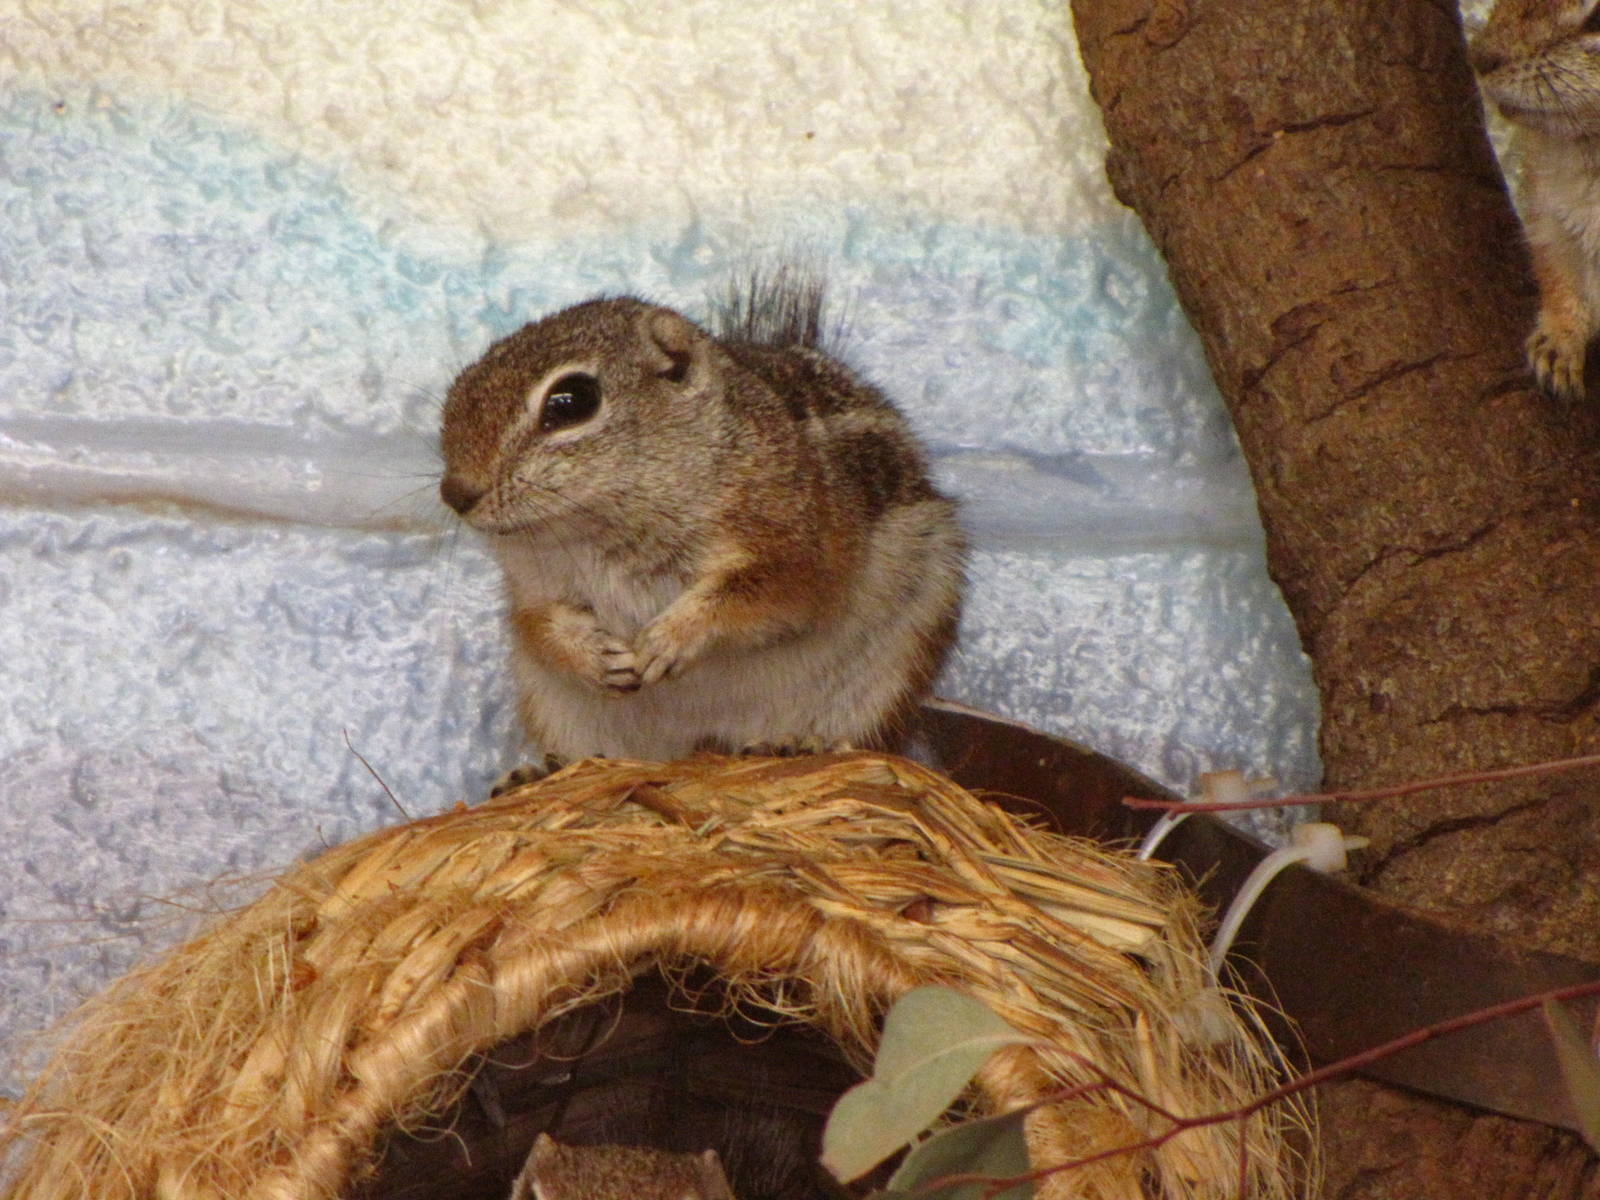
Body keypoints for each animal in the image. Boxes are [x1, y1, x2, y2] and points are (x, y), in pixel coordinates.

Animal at [438, 272, 967, 765]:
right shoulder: (533, 587)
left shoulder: (800, 546)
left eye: (571, 401)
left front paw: (668, 639)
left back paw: (796, 746)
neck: (604, 529)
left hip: (884, 679)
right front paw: (591, 657)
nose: (455, 493)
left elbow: (769, 597)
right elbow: (537, 627)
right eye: (458, 387)